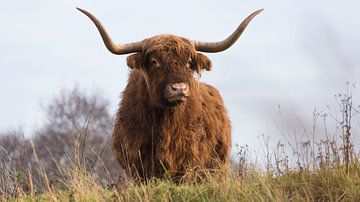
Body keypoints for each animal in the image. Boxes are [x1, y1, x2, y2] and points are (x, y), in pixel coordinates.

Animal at [77, 7, 262, 181]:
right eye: (154, 61)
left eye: (188, 62)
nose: (179, 88)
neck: (164, 123)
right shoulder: (139, 165)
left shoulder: (189, 163)